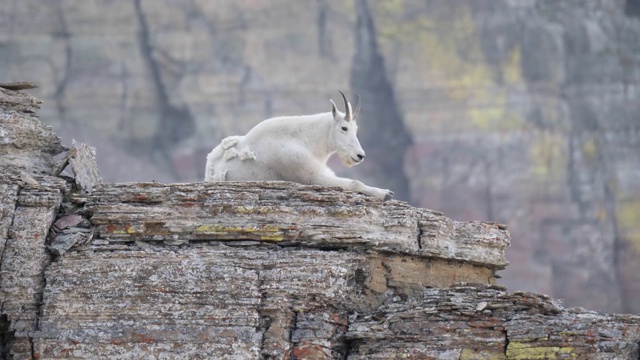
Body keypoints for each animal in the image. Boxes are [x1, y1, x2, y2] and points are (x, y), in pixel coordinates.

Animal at [205, 91, 396, 201]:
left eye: (356, 129)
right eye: (344, 128)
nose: (360, 155)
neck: (305, 140)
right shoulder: (310, 176)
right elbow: (354, 183)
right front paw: (385, 193)